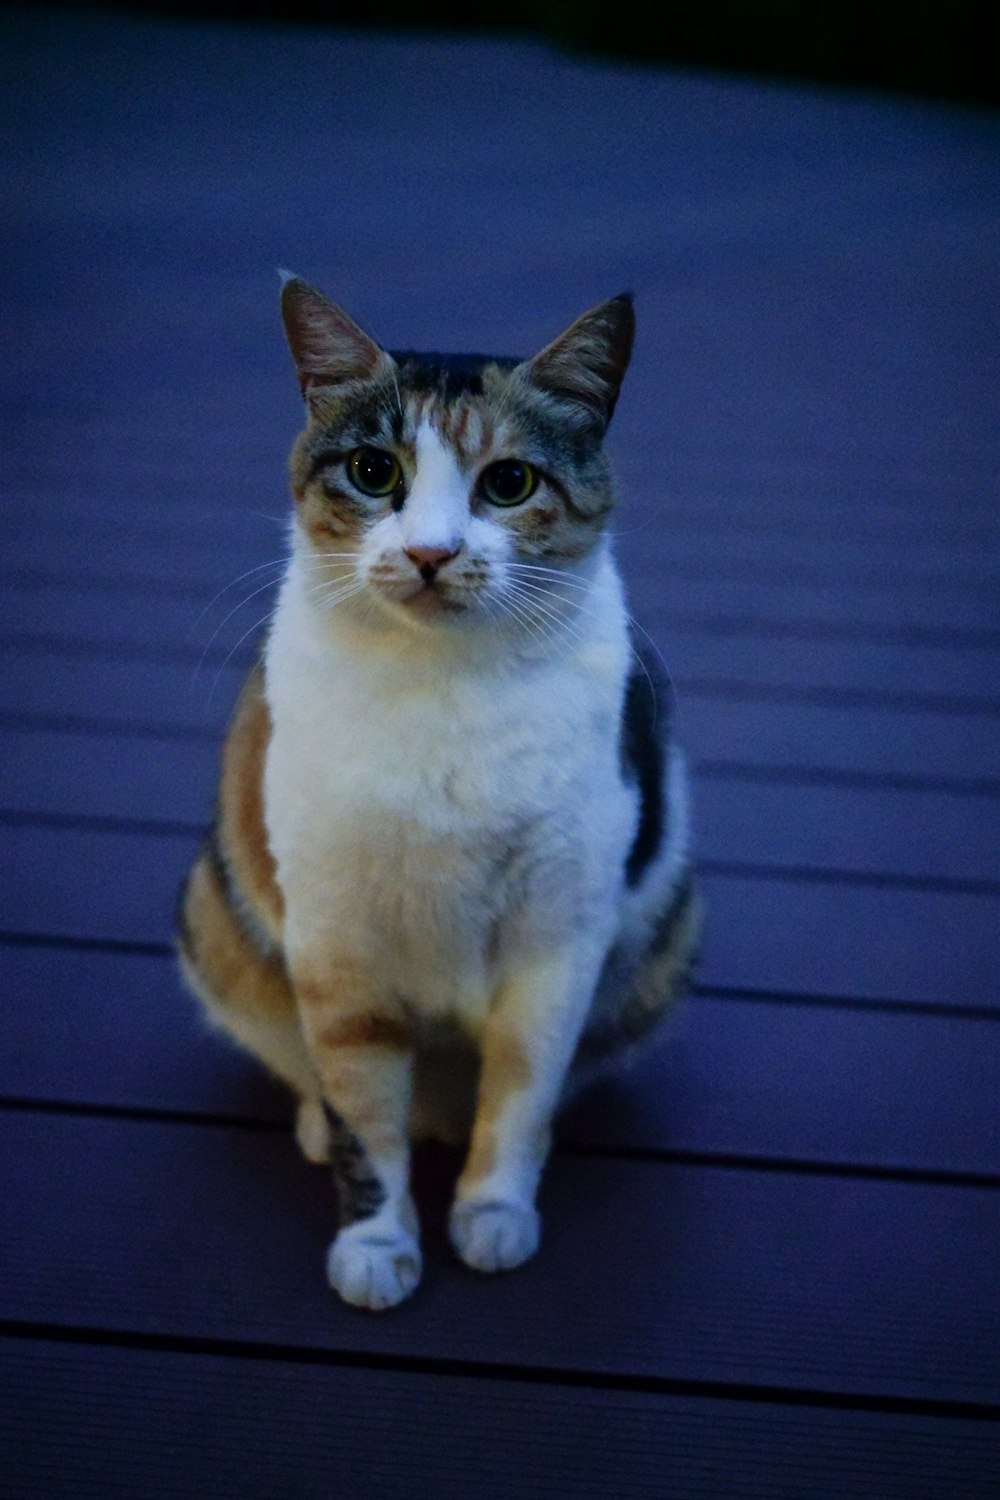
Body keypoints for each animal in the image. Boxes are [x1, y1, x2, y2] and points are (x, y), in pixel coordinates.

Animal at [176, 276, 701, 1308]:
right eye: (373, 470)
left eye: (509, 483)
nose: (429, 553)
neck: (442, 685)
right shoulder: (336, 942)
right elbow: (361, 1108)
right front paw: (378, 1243)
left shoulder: (558, 940)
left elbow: (522, 1090)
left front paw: (493, 1210)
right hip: (215, 918)